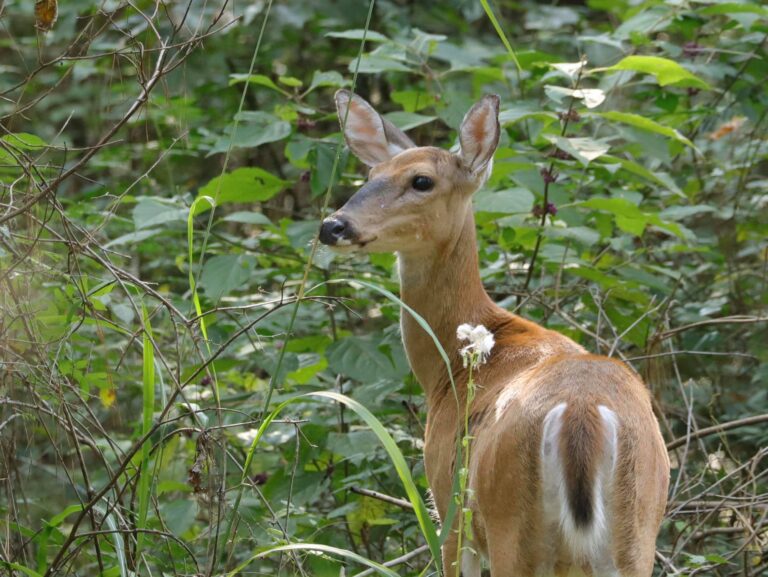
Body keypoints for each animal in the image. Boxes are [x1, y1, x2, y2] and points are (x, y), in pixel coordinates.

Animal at [318, 90, 664, 576]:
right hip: (638, 529)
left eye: (421, 181)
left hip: (508, 524)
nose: (333, 225)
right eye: (371, 175)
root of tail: (582, 417)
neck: (449, 363)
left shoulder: (446, 504)